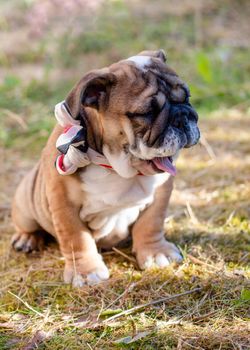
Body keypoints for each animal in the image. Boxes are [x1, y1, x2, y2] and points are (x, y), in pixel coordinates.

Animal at [11, 50, 200, 288]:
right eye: (146, 113)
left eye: (187, 98)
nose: (183, 116)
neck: (116, 167)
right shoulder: (64, 205)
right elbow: (76, 239)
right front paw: (86, 272)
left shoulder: (160, 193)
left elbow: (151, 224)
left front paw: (157, 253)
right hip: (25, 203)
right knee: (28, 225)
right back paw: (26, 238)